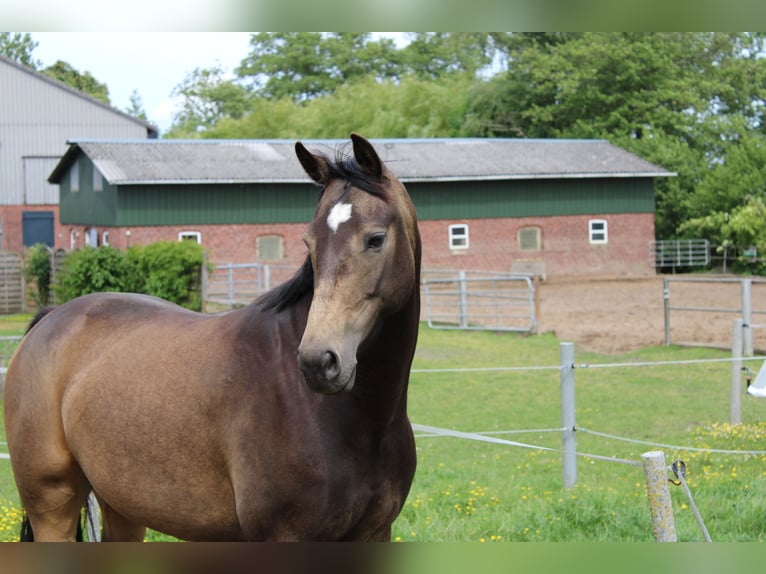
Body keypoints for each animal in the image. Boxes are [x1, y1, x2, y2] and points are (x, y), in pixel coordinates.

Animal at [4, 133, 421, 541]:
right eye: (310, 243)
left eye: (375, 239)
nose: (318, 362)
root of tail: (51, 318)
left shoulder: (374, 533)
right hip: (52, 505)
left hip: (122, 508)